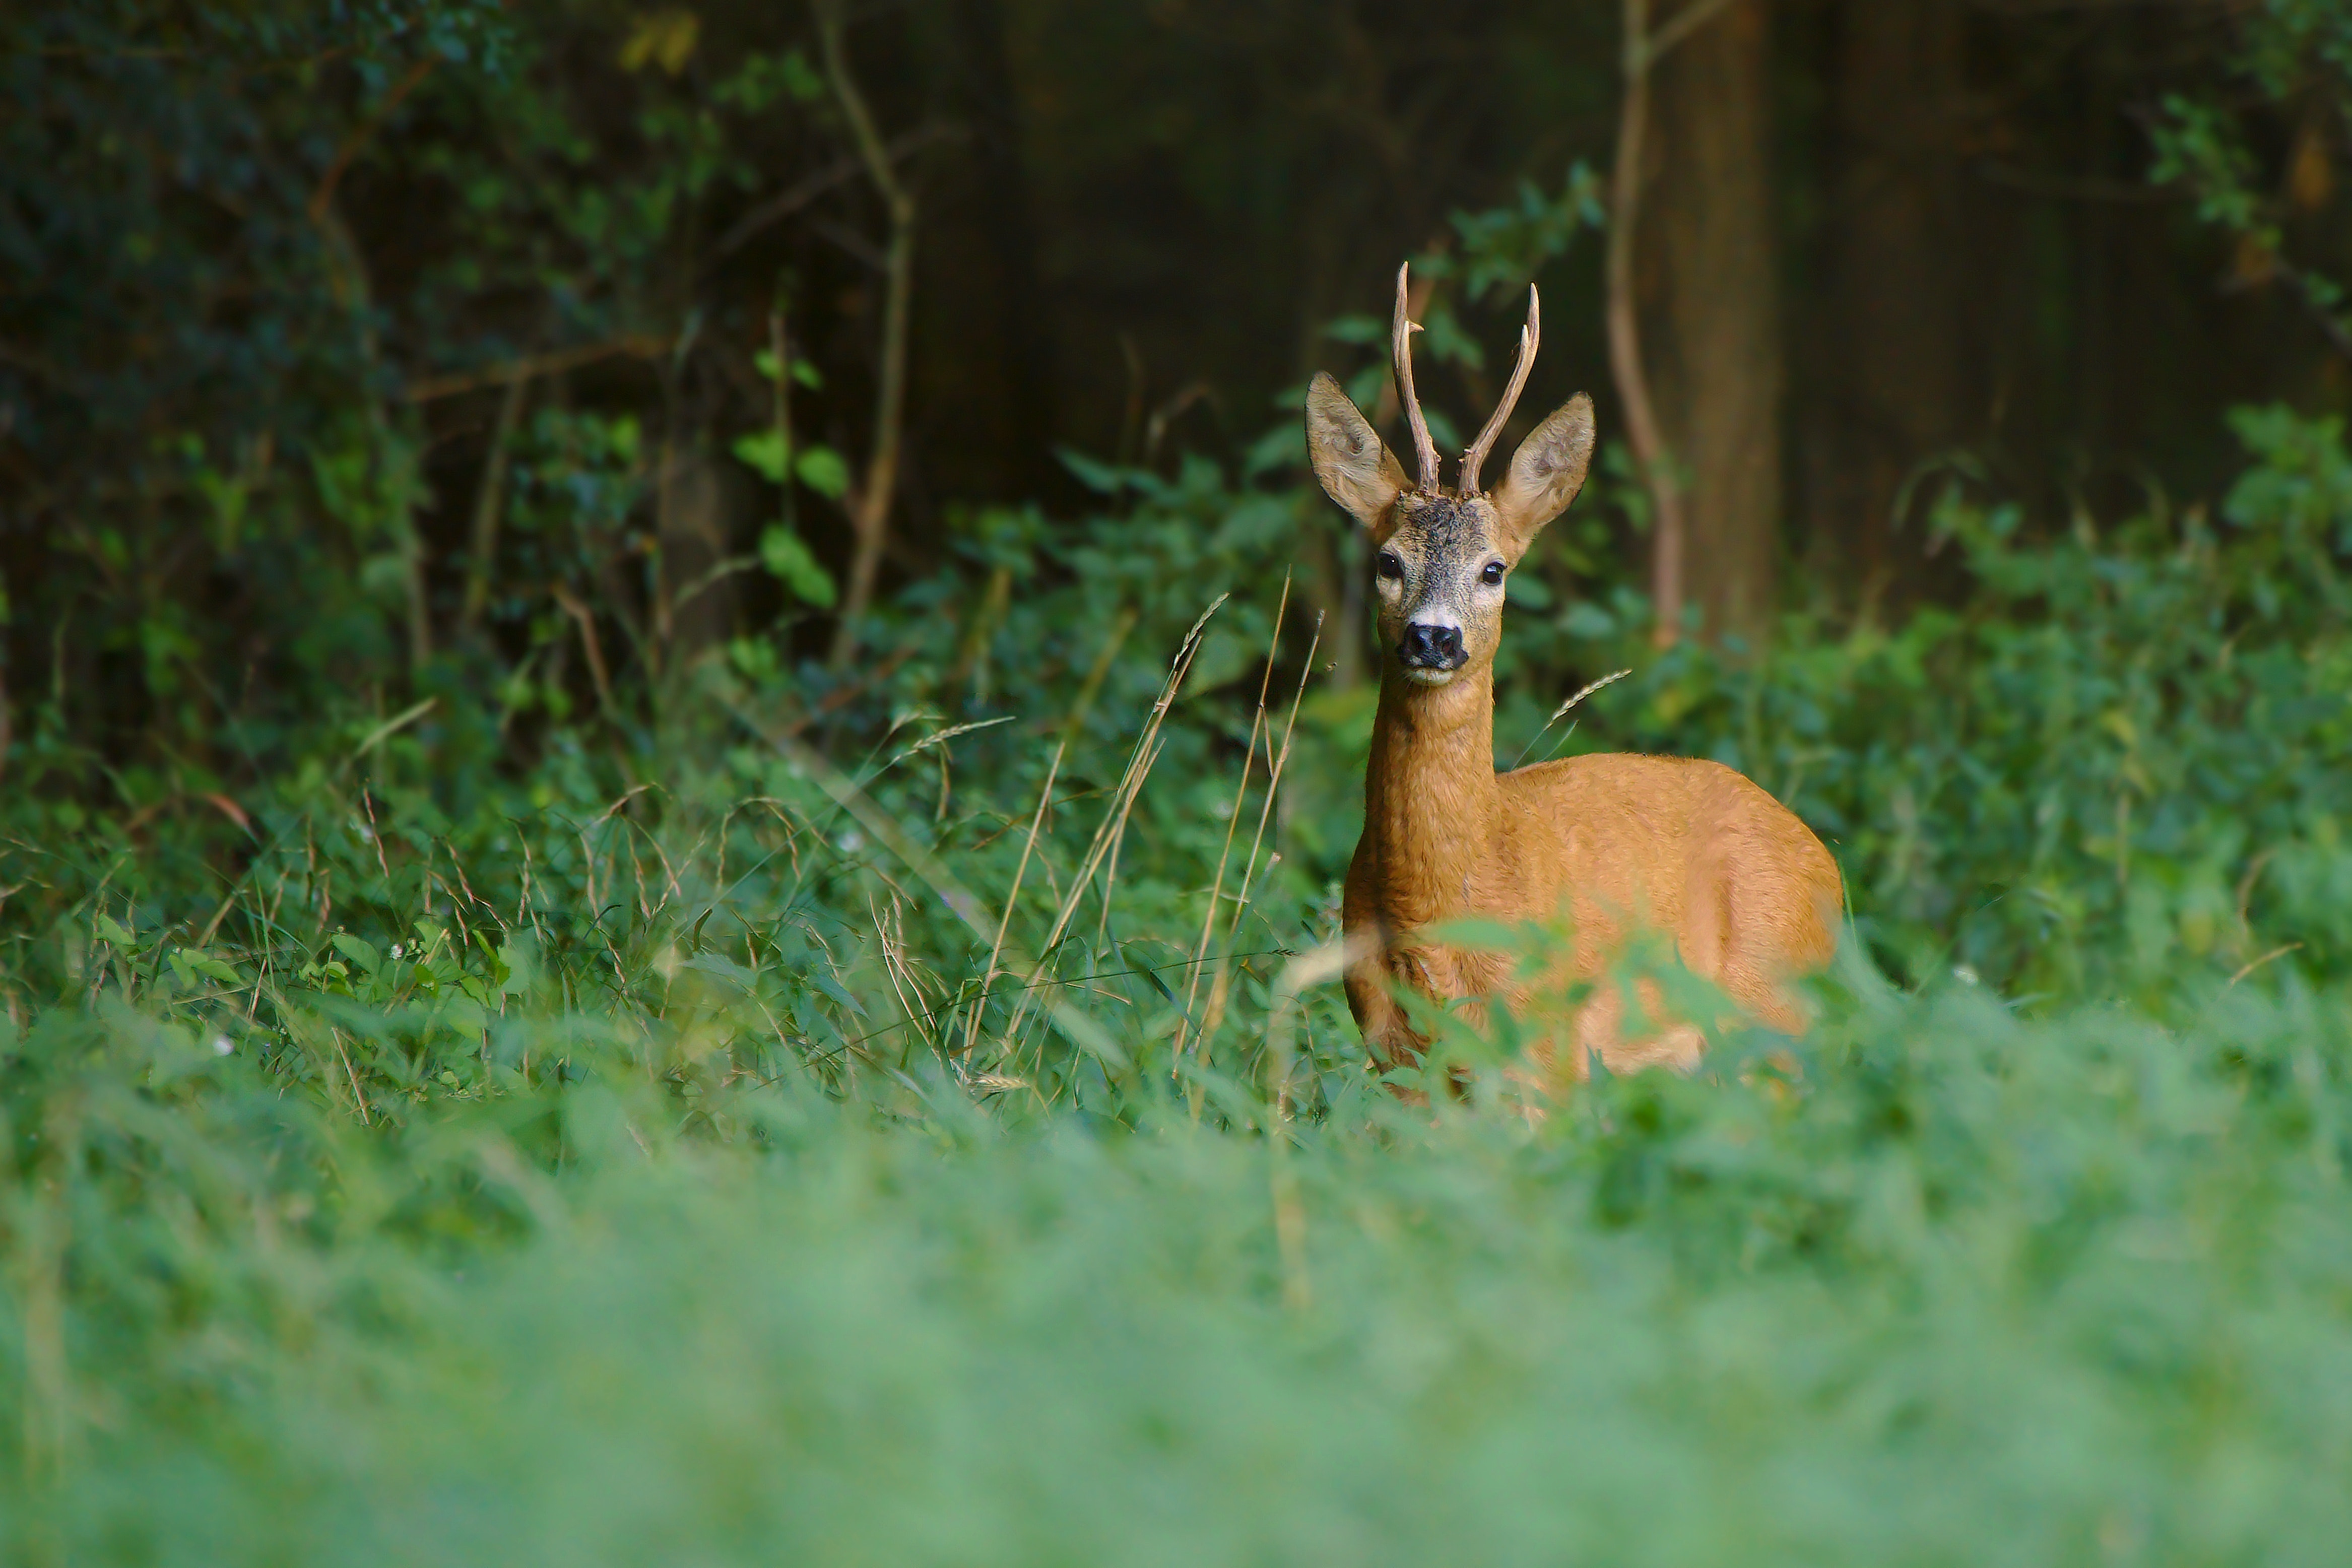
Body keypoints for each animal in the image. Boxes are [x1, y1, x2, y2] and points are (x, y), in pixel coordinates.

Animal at [1308, 267, 1835, 1081]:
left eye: (1494, 569)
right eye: (1387, 562)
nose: (1433, 638)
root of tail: (1828, 865)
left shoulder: (1548, 1049)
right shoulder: (1392, 1054)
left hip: (1773, 1017)